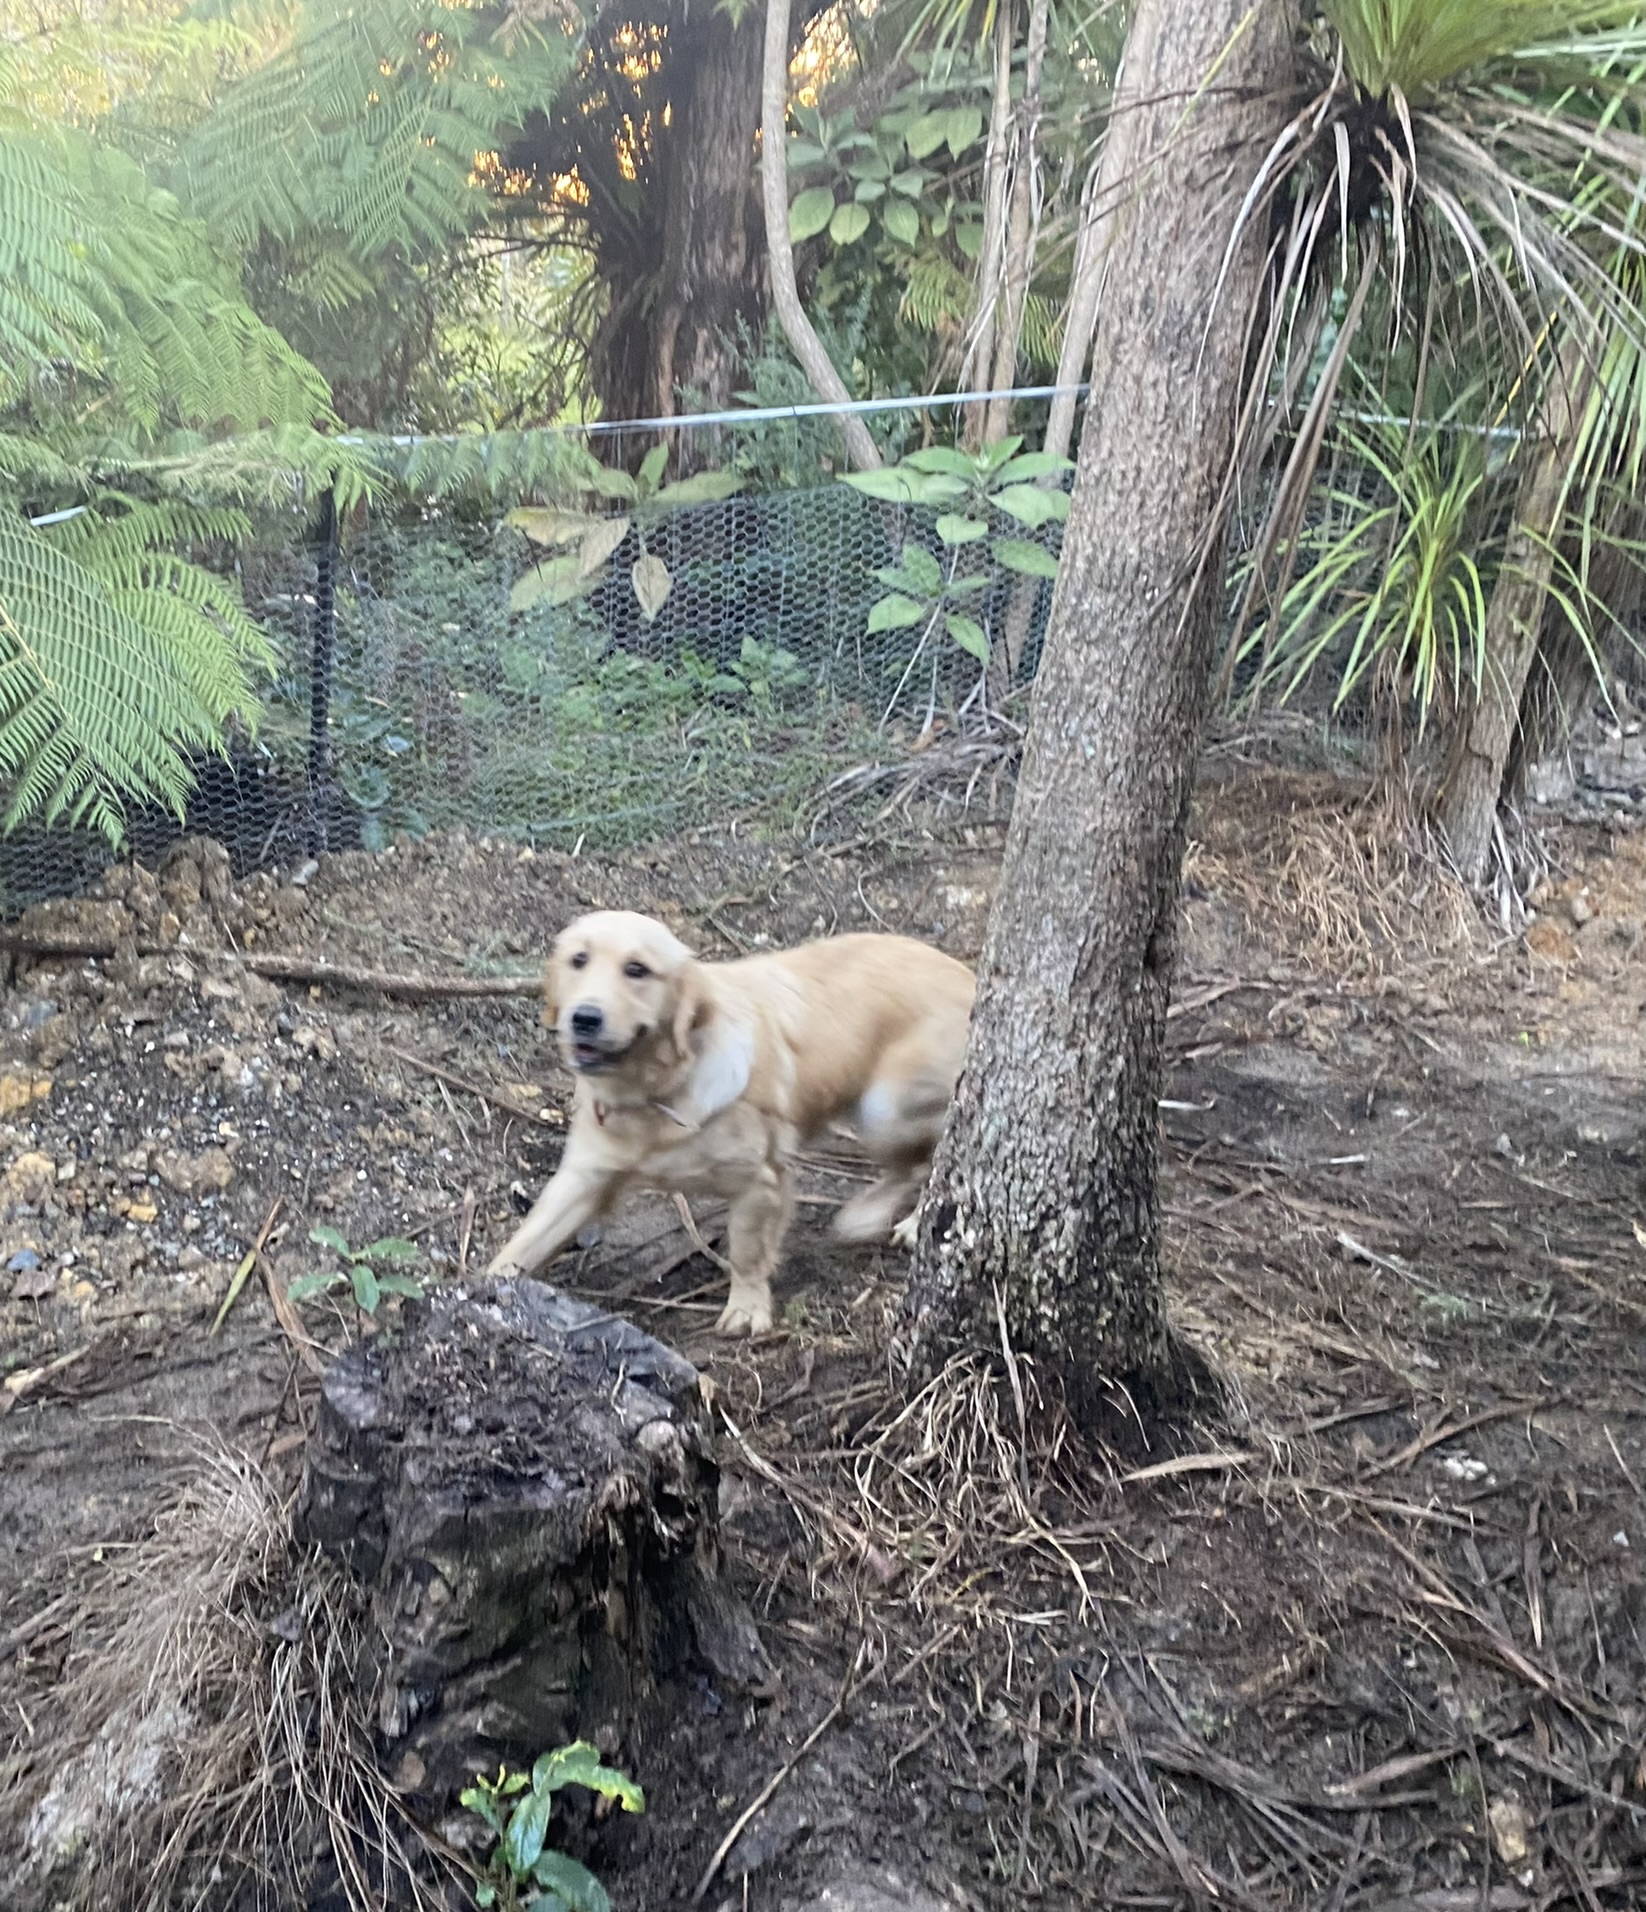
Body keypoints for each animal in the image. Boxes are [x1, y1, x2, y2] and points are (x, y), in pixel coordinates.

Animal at [487, 906, 974, 1330]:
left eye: (637, 970)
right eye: (578, 960)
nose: (584, 1018)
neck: (656, 1094)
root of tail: (969, 975)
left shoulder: (759, 1182)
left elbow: (746, 1252)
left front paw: (746, 1308)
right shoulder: (584, 1177)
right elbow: (523, 1244)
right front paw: (485, 1290)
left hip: (884, 1106)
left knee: (925, 1160)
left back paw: (880, 1218)